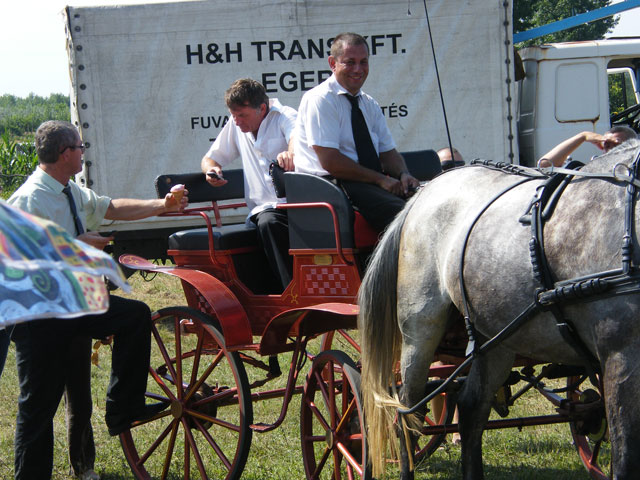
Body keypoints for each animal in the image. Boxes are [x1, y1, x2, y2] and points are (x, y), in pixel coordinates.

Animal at [358, 138, 640, 480]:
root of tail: (425, 190)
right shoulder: (621, 354)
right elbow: (626, 459)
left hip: (495, 336)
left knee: (470, 410)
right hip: (420, 327)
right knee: (409, 411)